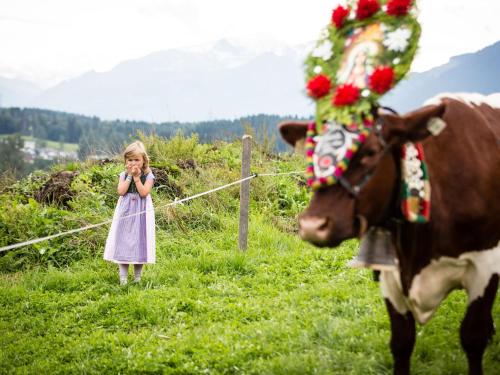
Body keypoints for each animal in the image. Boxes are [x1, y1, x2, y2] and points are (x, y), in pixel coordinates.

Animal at [280, 92, 498, 374]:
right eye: (312, 153)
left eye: (371, 152)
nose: (312, 225)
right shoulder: (390, 273)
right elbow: (402, 342)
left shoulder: (486, 265)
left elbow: (473, 338)